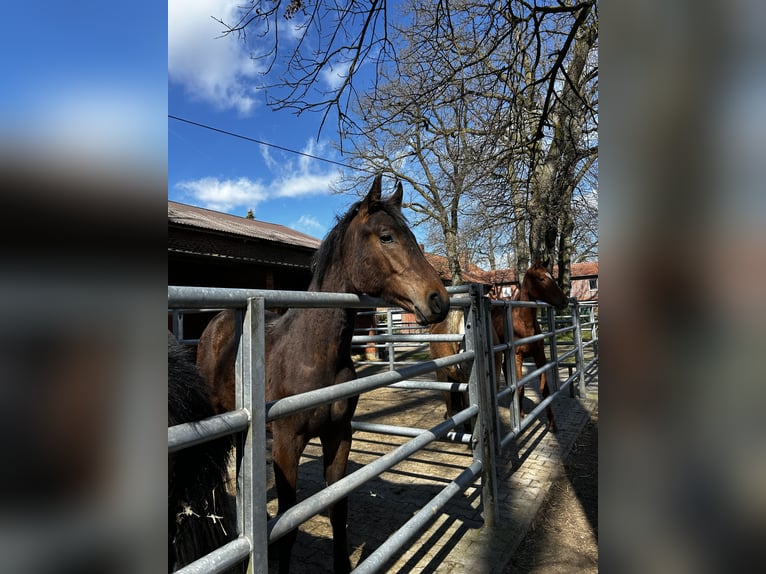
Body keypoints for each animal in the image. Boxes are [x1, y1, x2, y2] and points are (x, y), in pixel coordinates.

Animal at [195, 175, 449, 574]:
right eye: (387, 236)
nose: (439, 299)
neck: (314, 355)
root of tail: (215, 324)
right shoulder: (287, 444)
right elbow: (288, 521)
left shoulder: (338, 435)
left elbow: (336, 506)